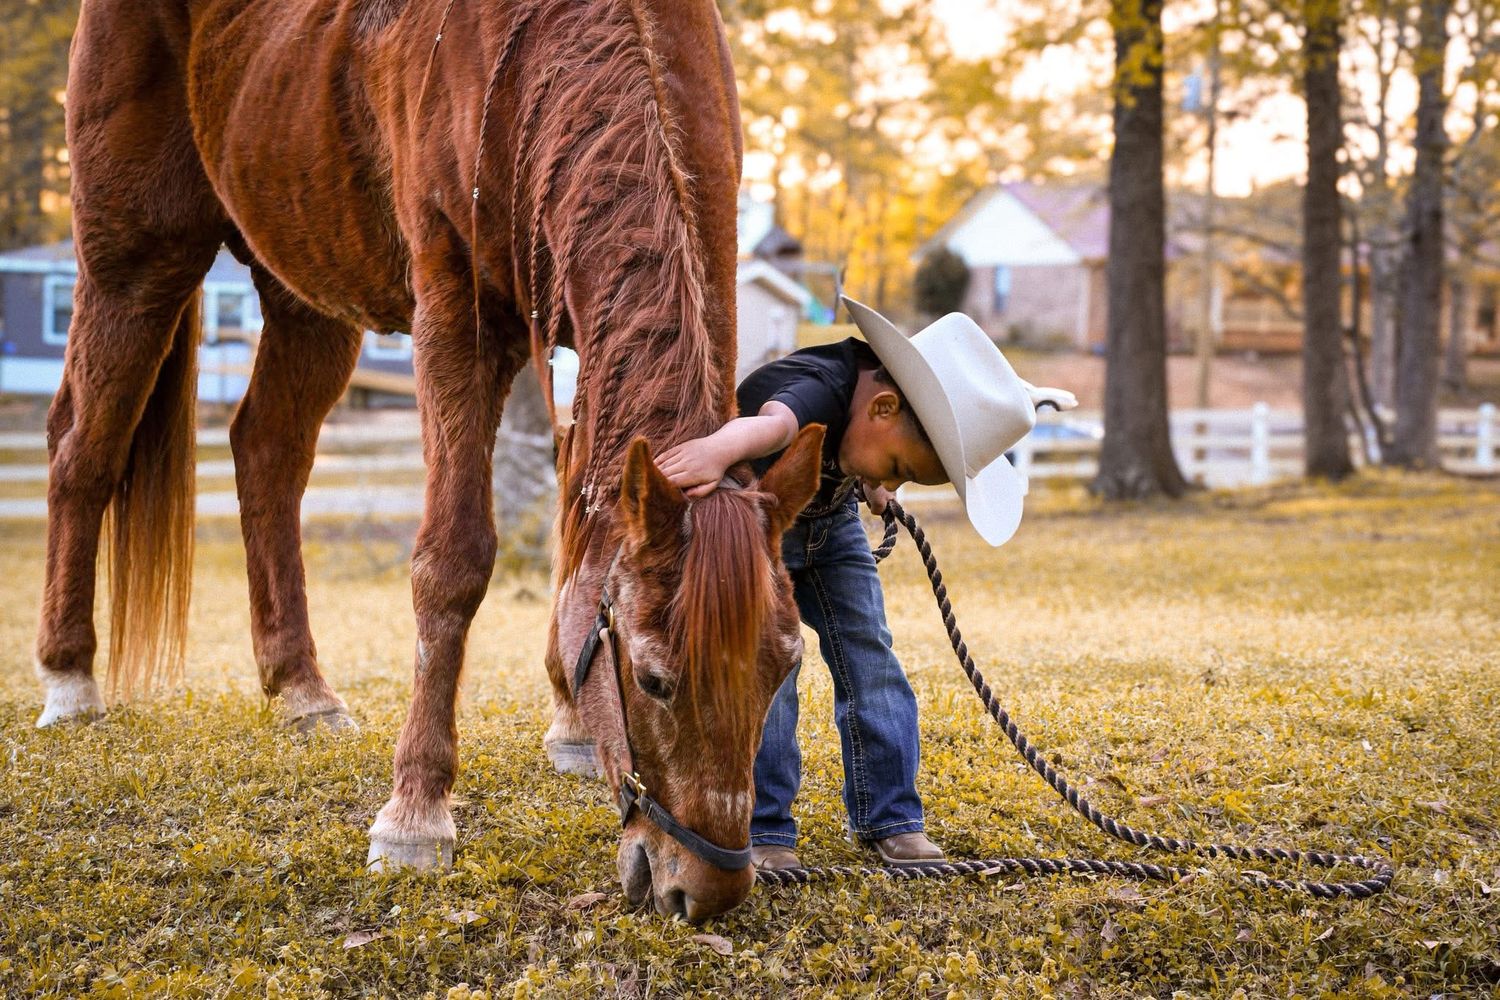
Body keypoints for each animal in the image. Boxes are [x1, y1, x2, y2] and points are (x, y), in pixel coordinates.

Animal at [36, 0, 822, 920]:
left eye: (784, 668)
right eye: (655, 679)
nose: (707, 891)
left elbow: (580, 538)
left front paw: (568, 720)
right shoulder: (457, 317)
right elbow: (454, 564)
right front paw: (415, 813)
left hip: (303, 293)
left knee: (265, 453)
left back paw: (302, 689)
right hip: (134, 262)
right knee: (82, 454)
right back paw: (69, 679)